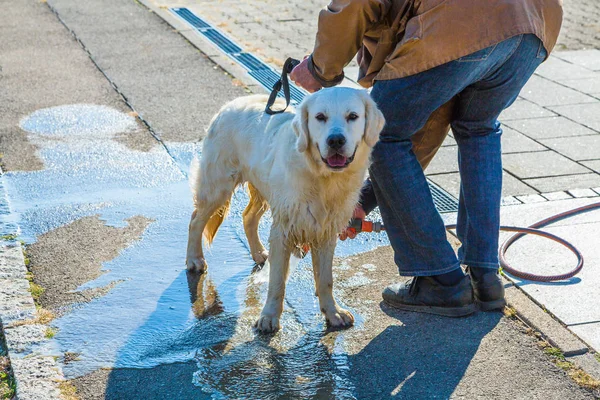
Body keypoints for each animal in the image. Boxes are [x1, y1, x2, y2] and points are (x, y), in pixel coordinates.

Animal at [188, 88, 384, 334]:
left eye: (353, 116)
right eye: (320, 117)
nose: (336, 140)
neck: (323, 178)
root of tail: (229, 105)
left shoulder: (325, 231)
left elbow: (325, 280)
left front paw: (333, 312)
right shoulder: (283, 229)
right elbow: (277, 281)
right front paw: (269, 317)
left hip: (263, 190)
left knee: (248, 217)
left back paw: (258, 252)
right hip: (218, 186)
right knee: (196, 221)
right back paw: (194, 259)